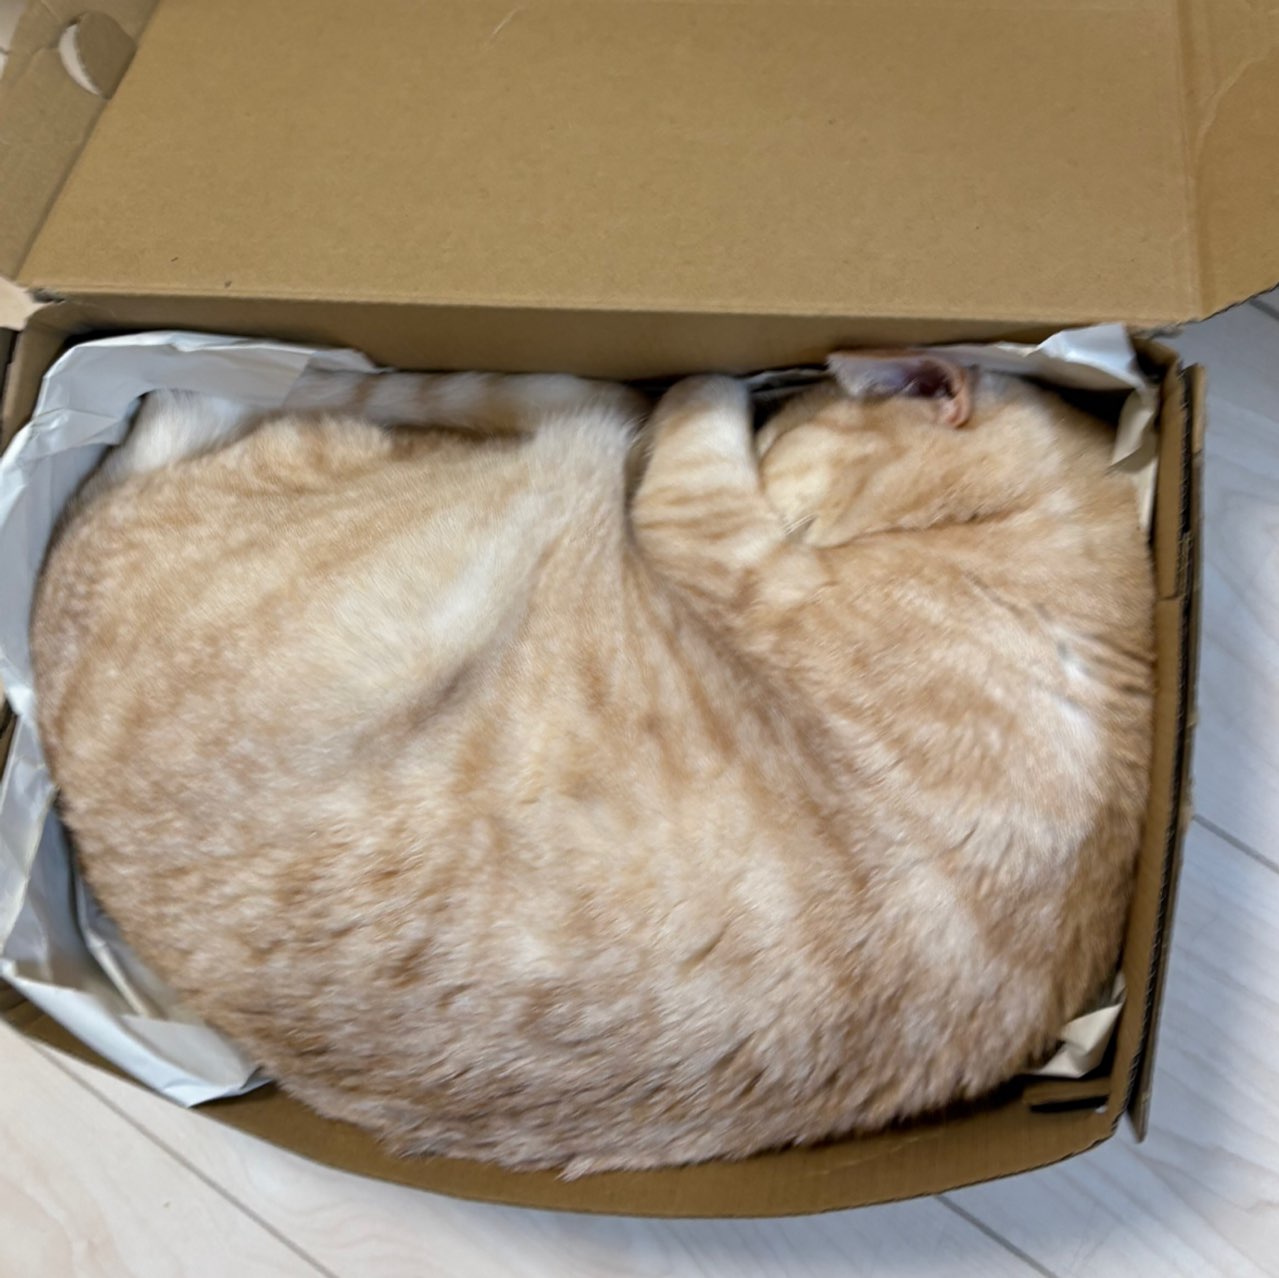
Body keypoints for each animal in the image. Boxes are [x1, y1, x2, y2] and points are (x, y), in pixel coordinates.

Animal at [29, 353, 1154, 1175]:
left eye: (779, 444)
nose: (766, 419)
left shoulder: (718, 540)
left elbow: (689, 420)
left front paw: (707, 385)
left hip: (534, 464)